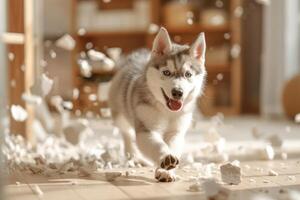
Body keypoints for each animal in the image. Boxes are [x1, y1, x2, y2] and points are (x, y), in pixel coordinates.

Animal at [109, 27, 206, 182]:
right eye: (166, 72)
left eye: (188, 74)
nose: (178, 92)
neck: (166, 110)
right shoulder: (146, 129)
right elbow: (157, 145)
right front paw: (165, 158)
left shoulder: (176, 132)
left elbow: (172, 146)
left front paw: (166, 172)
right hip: (120, 115)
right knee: (127, 134)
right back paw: (134, 157)